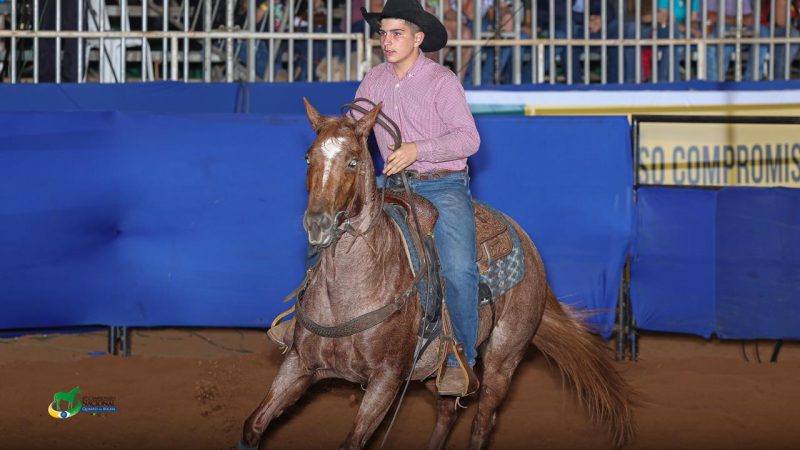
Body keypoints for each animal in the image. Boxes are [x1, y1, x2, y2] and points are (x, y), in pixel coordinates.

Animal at [238, 99, 636, 450]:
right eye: (308, 157)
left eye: (352, 161)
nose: (317, 223)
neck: (350, 292)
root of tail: (524, 238)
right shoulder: (299, 365)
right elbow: (253, 426)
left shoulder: (386, 380)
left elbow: (352, 441)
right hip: (437, 371)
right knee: (447, 410)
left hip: (504, 358)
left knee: (483, 421)